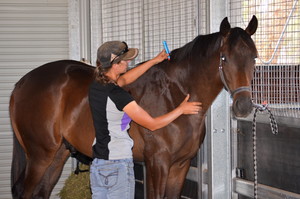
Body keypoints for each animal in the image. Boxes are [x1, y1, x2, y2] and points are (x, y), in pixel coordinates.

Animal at [9, 16, 258, 198]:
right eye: (224, 58)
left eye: (254, 57)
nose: (244, 105)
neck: (174, 93)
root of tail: (22, 83)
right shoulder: (157, 163)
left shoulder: (181, 165)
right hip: (39, 156)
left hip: (57, 154)